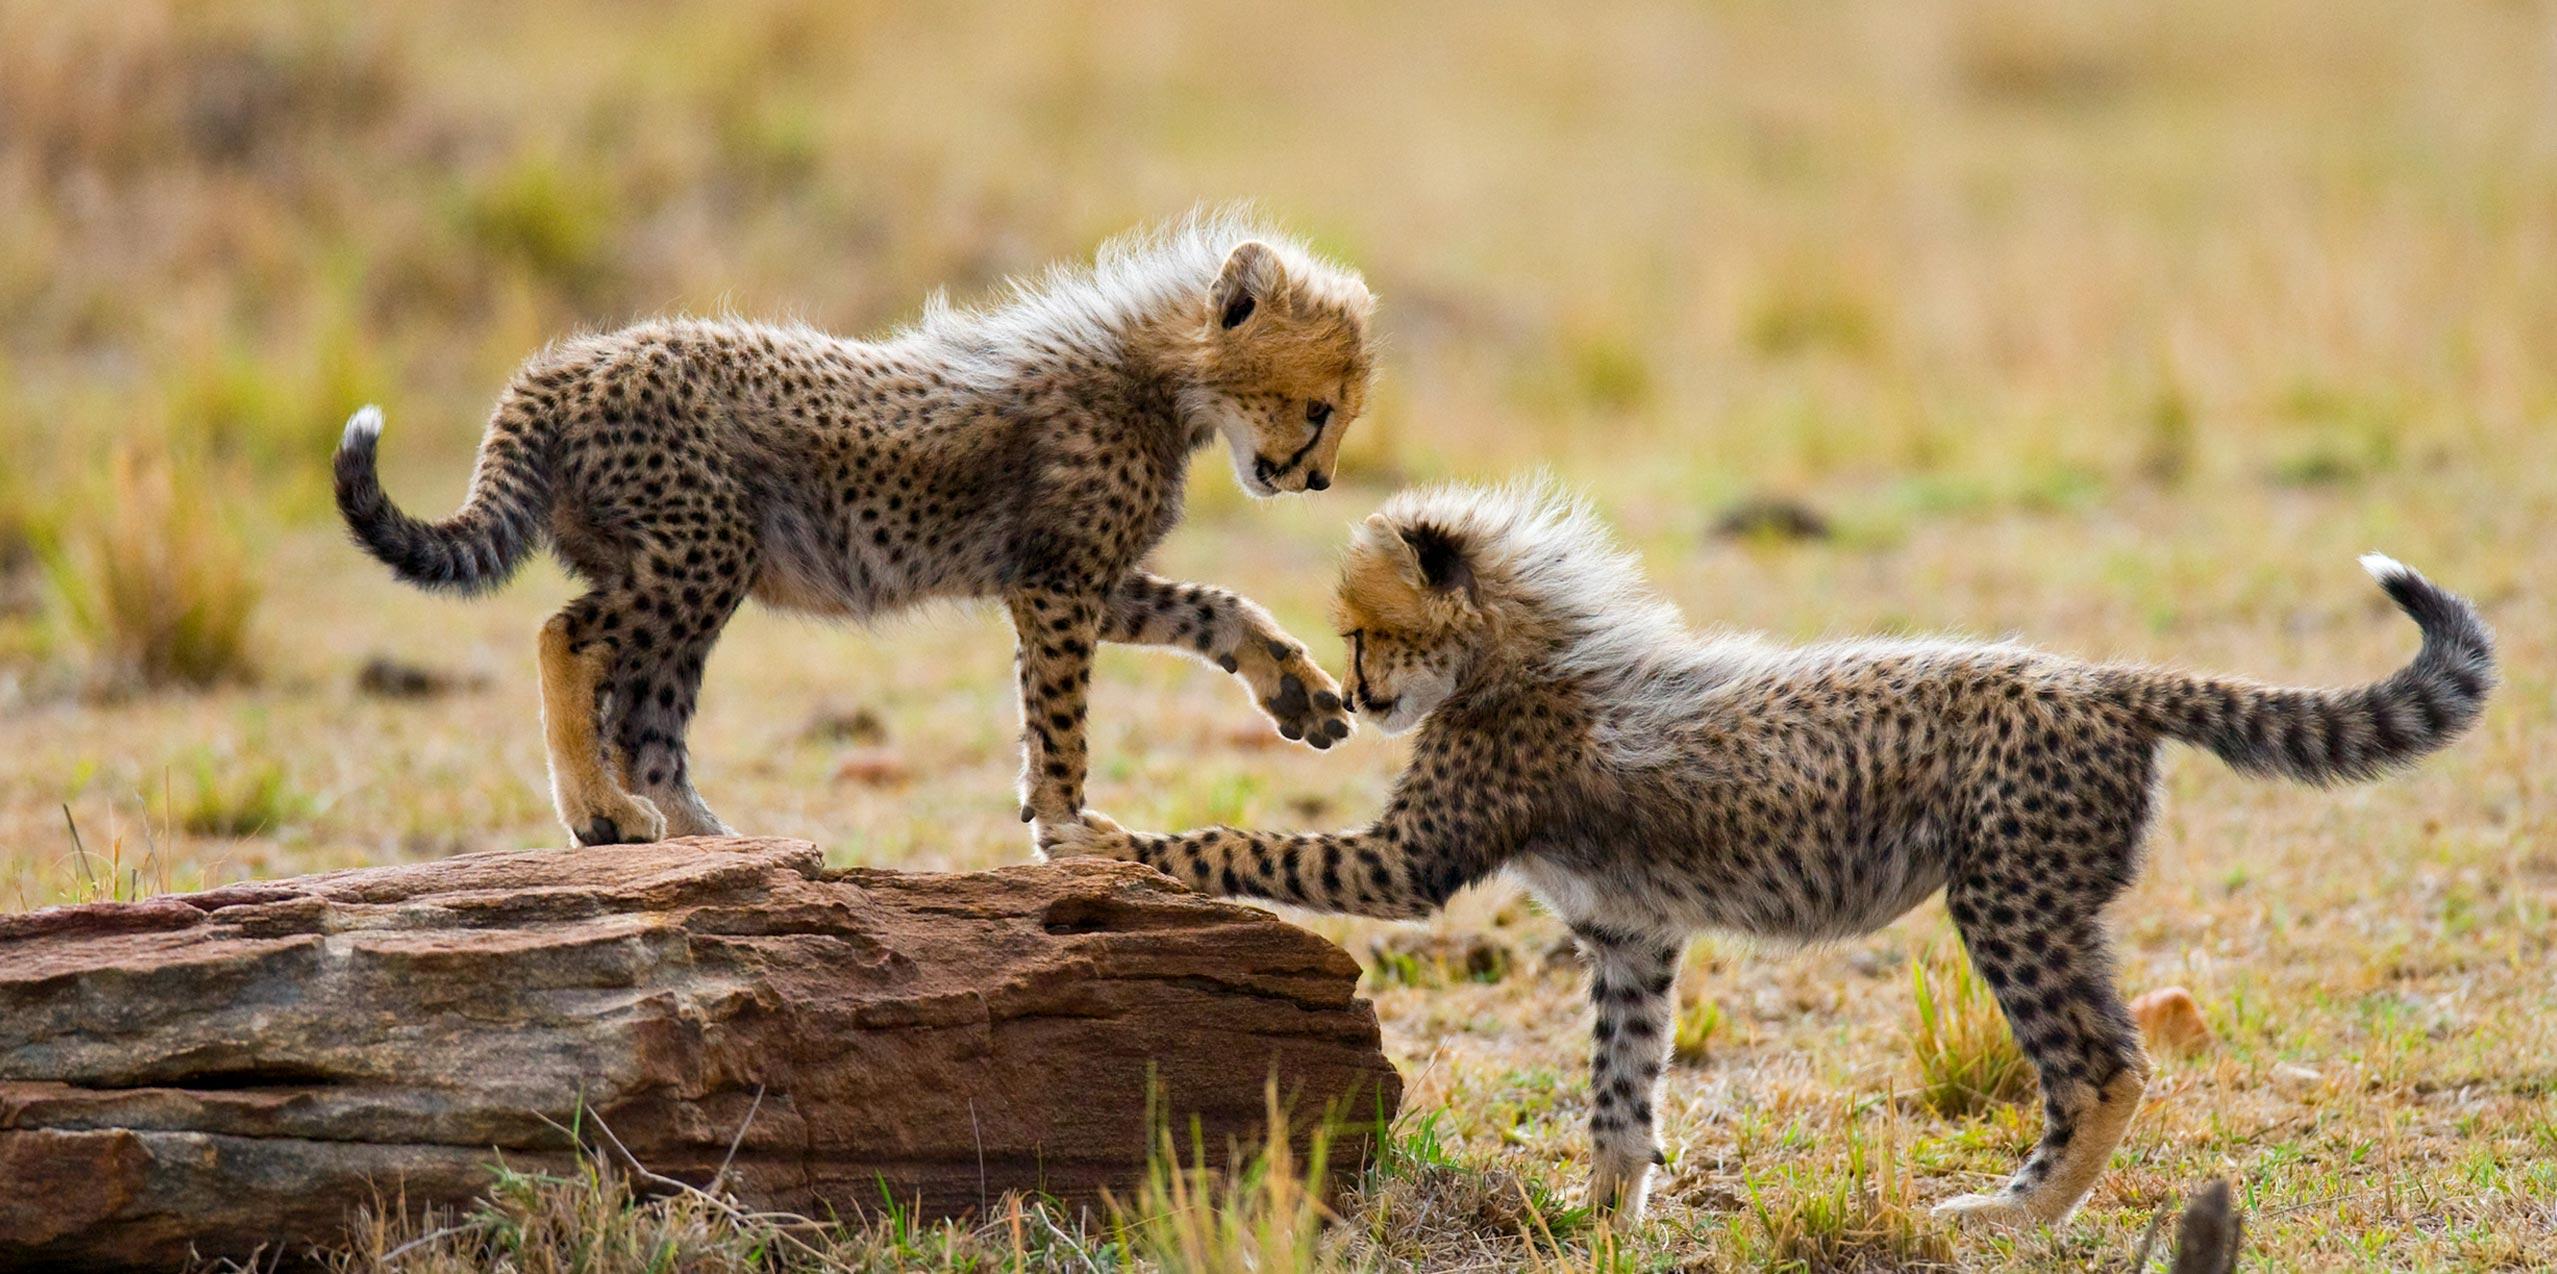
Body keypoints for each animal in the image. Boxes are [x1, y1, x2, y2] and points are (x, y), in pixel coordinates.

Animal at [335, 211, 1372, 847]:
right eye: (1320, 408)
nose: (1317, 479)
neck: (1161, 373)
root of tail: (560, 364)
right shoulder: (1056, 584)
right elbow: (1061, 721)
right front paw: (1068, 826)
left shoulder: (1082, 579)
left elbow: (1216, 607)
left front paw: (1297, 689)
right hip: (702, 552)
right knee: (570, 636)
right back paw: (603, 814)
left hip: (693, 570)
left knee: (646, 717)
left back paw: (711, 839)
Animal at [1042, 480, 2495, 1225]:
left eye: (1362, 629)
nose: (1356, 690)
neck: (1515, 650)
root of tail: (2093, 675)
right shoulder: (1632, 936)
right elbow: (1621, 1091)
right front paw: (1596, 1217)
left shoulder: (1409, 861)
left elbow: (1251, 842)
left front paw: (1110, 834)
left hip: (2006, 897)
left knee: (2103, 1062)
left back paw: (2014, 1213)